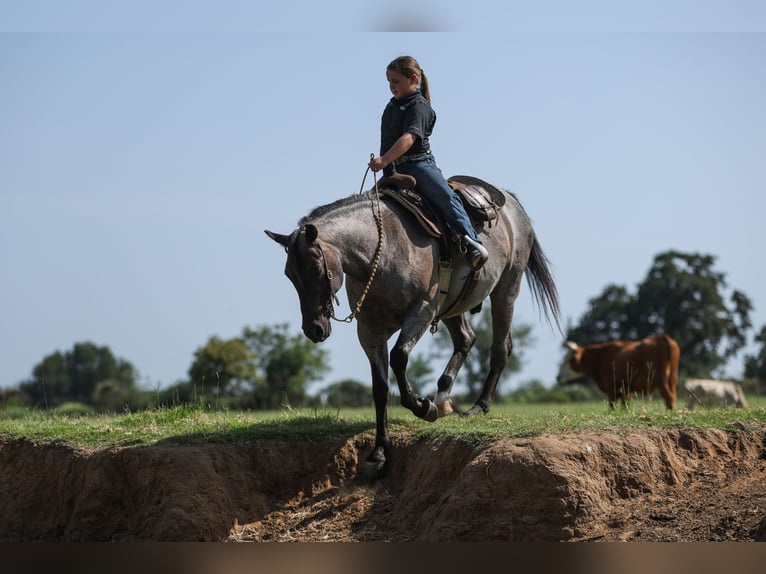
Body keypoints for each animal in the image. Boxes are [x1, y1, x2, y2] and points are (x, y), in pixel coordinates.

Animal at [268, 177, 560, 482]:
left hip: (506, 289)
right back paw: (443, 397)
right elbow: (380, 388)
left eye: (316, 268)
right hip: (453, 304)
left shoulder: (422, 311)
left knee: (501, 346)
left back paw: (477, 406)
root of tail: (509, 201)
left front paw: (423, 406)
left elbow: (399, 359)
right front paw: (379, 453)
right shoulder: (370, 331)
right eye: (289, 274)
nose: (313, 329)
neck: (380, 252)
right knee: (466, 340)